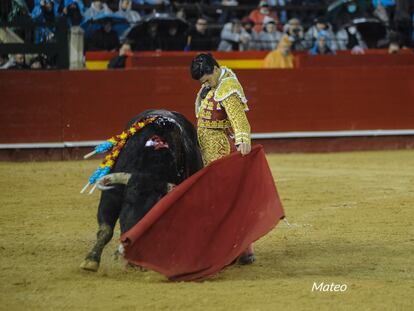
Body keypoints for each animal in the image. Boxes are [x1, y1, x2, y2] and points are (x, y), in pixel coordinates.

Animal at [80, 110, 203, 272]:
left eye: (155, 211)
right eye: (128, 202)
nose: (131, 244)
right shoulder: (112, 195)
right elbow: (105, 229)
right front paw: (90, 261)